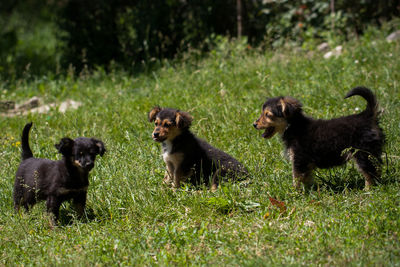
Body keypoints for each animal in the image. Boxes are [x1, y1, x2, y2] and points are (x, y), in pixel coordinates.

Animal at [253, 86, 384, 191]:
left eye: (268, 115)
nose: (254, 124)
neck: (294, 126)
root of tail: (366, 115)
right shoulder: (304, 164)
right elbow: (307, 179)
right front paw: (309, 191)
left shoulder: (299, 160)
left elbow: (296, 178)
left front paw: (294, 193)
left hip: (361, 153)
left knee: (369, 172)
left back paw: (367, 190)